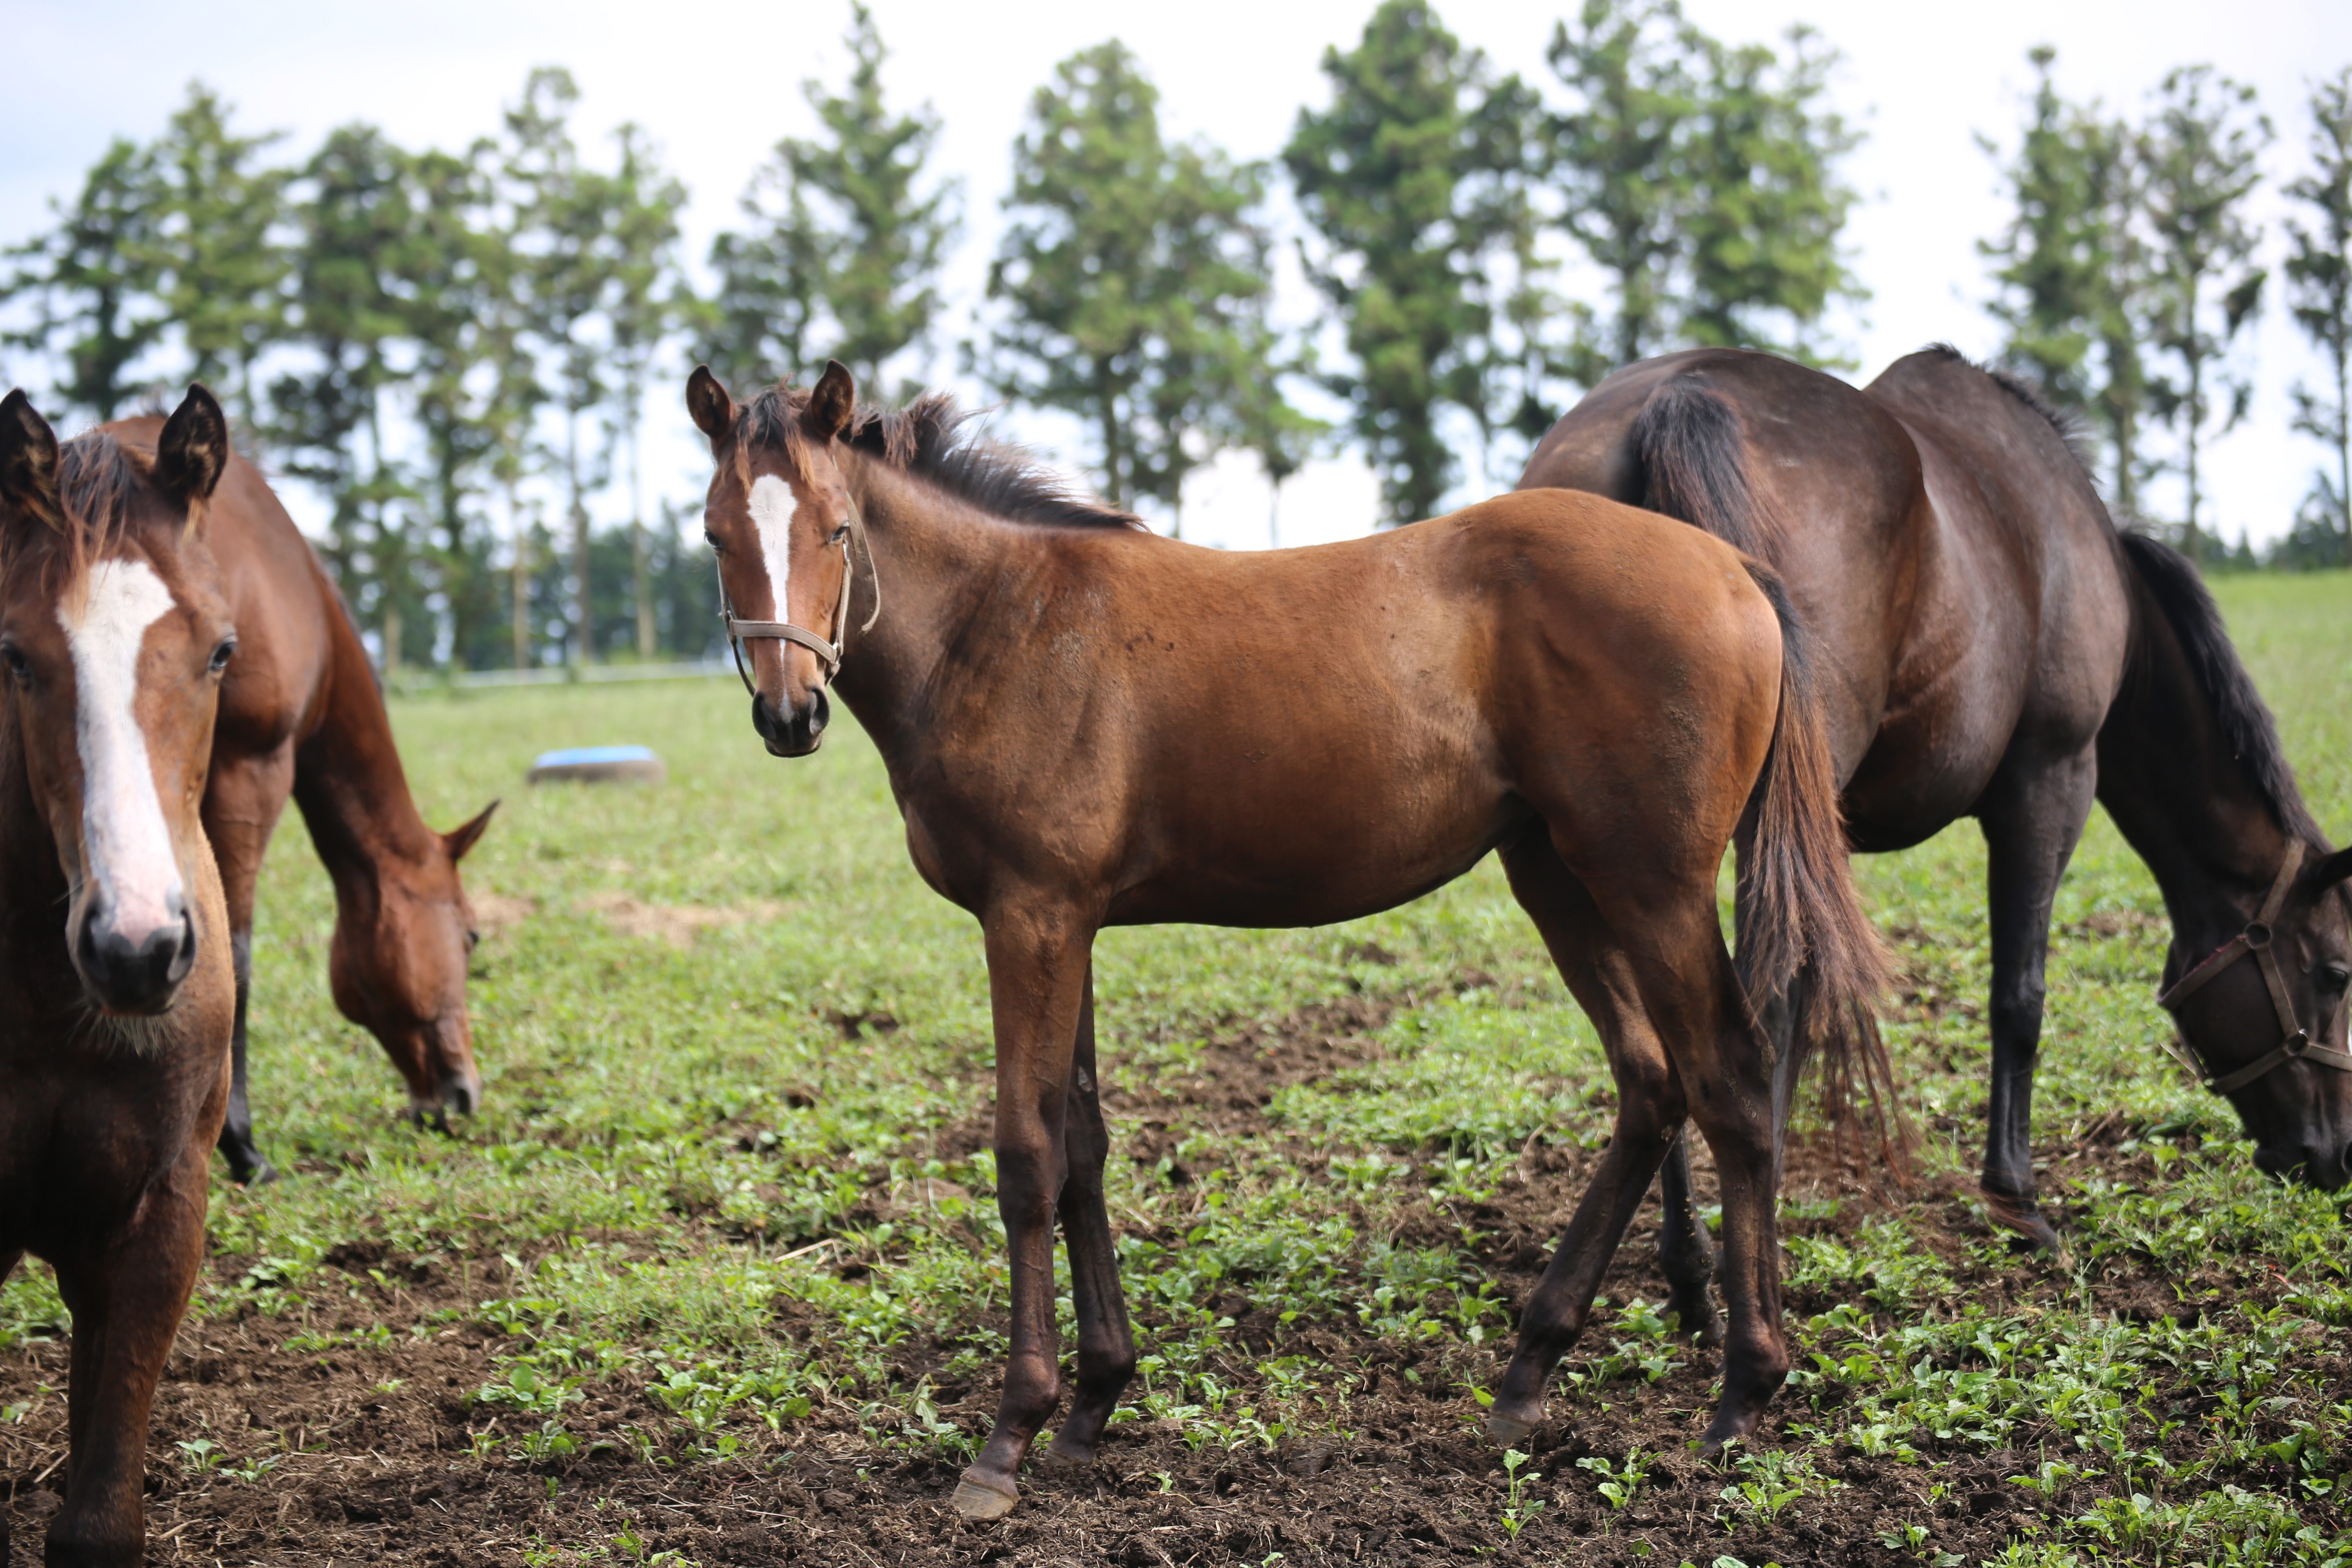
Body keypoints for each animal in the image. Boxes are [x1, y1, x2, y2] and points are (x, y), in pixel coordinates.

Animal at [686, 364, 1891, 1523]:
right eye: (714, 535)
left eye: (837, 529)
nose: (789, 715)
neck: (1005, 626)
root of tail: (1735, 568)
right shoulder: (1068, 921)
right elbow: (1083, 1145)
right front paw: (1094, 1400)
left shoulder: (1027, 919)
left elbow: (1026, 1156)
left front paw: (1009, 1438)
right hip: (1556, 874)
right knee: (1650, 1080)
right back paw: (1527, 1373)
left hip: (1652, 885)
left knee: (1727, 1078)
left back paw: (1741, 1391)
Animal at [1524, 341, 2352, 1288]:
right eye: (2338, 973)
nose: (2335, 1157)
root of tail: (1683, 393)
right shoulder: (2050, 783)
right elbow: (2018, 998)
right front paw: (2017, 1200)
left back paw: (1692, 1257)